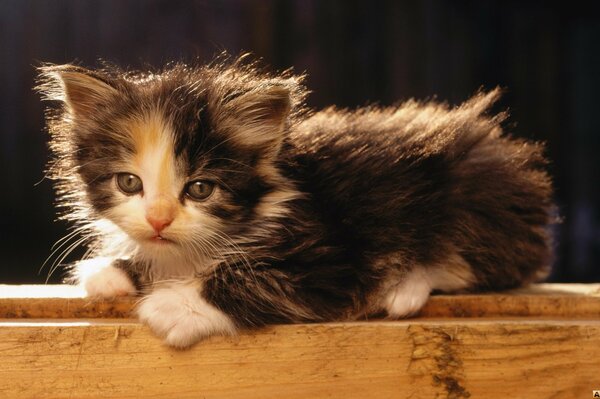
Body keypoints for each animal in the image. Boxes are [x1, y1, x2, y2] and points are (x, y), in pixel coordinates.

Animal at [36, 57, 552, 348]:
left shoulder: (334, 251)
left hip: (476, 196)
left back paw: (404, 287)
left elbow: (261, 277)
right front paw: (117, 272)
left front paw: (176, 305)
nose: (159, 219)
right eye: (129, 183)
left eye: (200, 189)